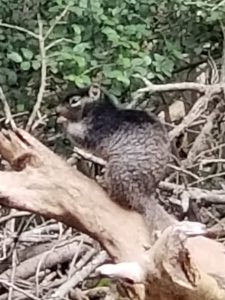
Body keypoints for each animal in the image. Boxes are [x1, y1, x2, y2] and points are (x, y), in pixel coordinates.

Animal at [56, 84, 171, 230]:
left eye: (74, 100)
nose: (56, 111)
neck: (97, 108)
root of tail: (144, 195)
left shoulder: (94, 129)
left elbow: (78, 134)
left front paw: (63, 120)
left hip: (117, 171)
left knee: (119, 199)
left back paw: (103, 184)